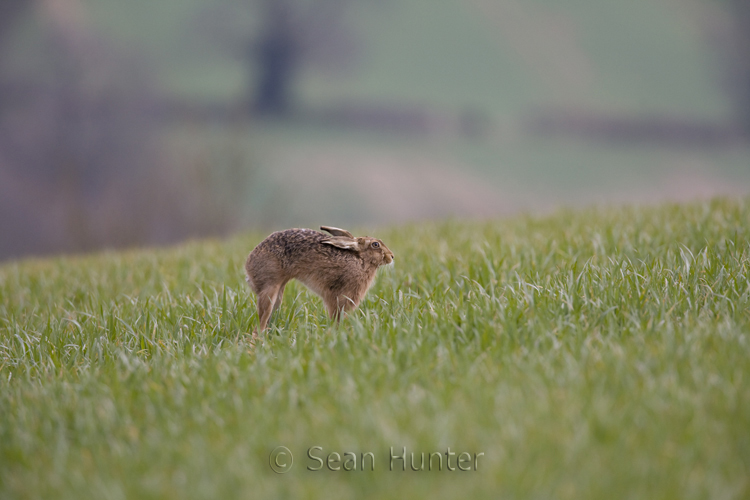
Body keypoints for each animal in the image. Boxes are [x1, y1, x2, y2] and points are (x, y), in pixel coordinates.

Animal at [245, 226, 394, 333]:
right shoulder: (338, 297)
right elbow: (336, 317)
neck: (360, 260)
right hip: (270, 287)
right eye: (375, 245)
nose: (391, 256)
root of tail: (249, 263)